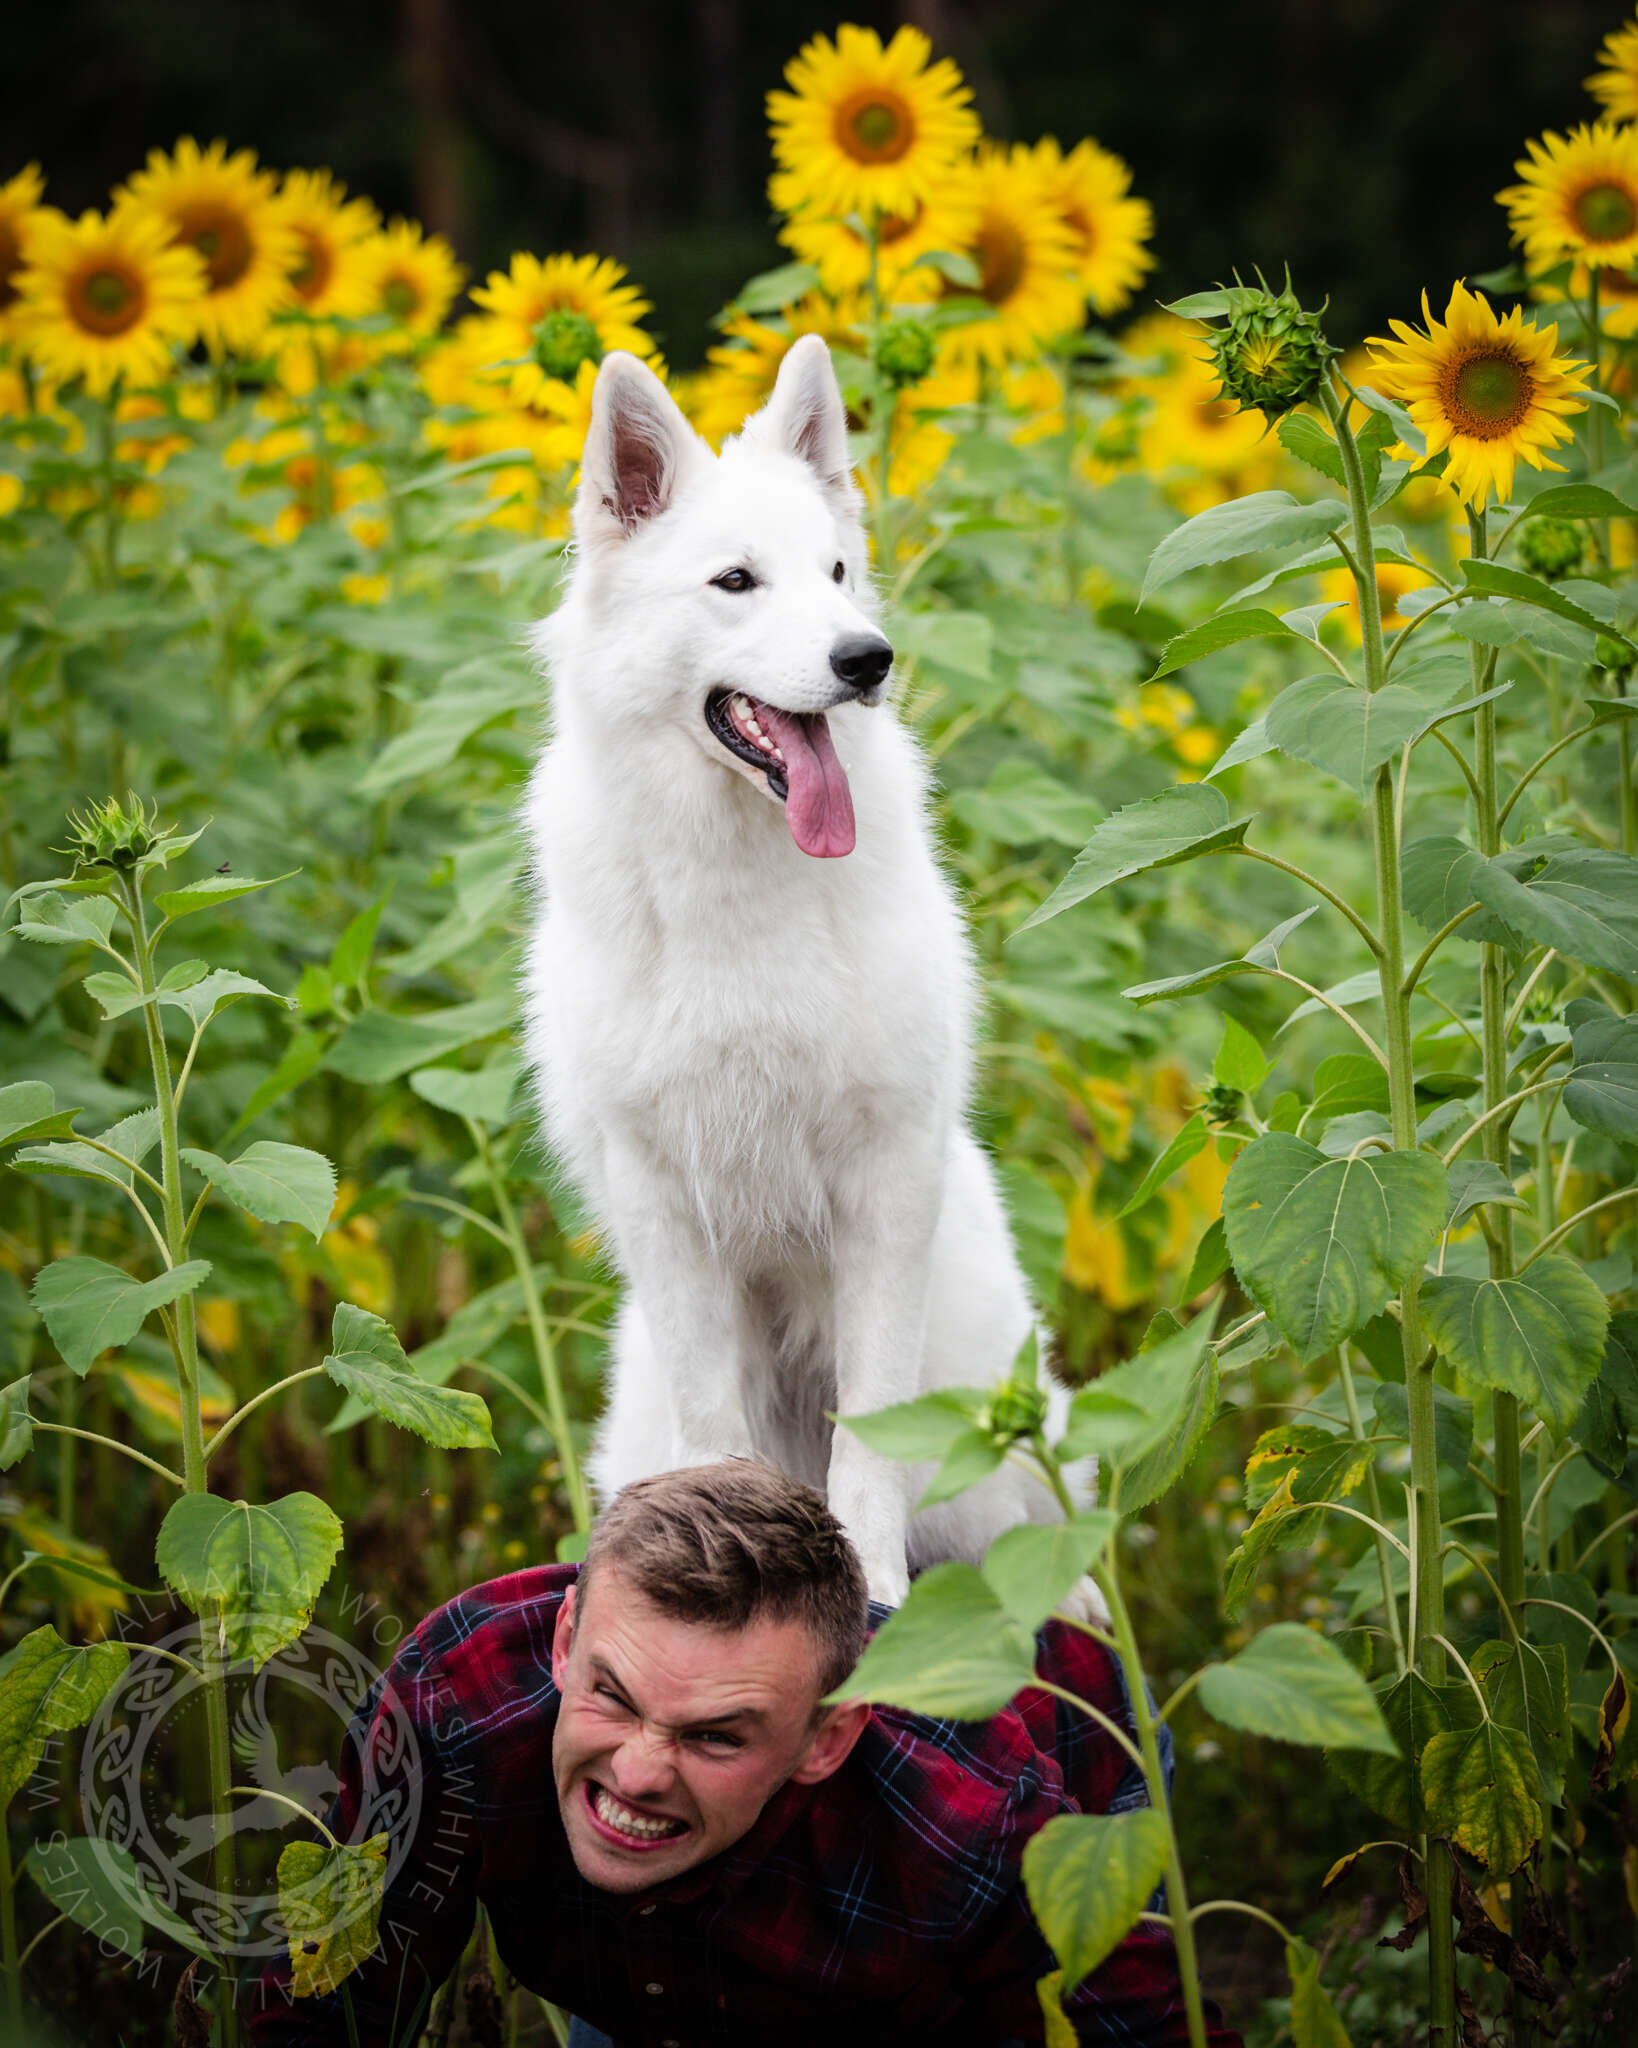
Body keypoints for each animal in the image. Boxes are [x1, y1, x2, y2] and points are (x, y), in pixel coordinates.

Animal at [518, 335, 1064, 1605]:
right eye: (736, 582)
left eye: (837, 572)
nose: (868, 659)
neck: (743, 886)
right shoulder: (663, 1199)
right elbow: (718, 1425)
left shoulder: (885, 1184)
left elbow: (870, 1428)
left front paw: (872, 1585)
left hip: (1000, 1440)